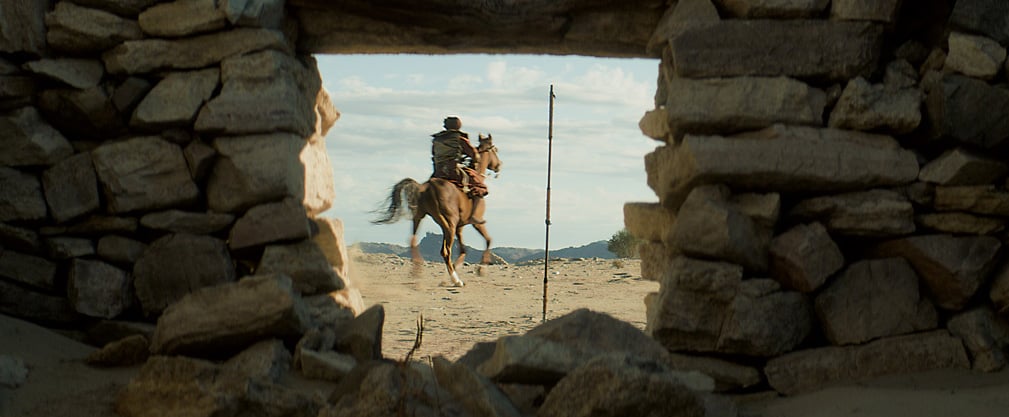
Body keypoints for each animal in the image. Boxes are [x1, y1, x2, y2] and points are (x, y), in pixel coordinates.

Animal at [373, 133, 502, 286]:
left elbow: (463, 250)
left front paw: (451, 274)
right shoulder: (476, 223)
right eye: (495, 150)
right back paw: (456, 280)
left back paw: (418, 272)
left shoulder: (460, 227)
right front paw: (481, 270)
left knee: (413, 241)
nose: (499, 165)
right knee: (445, 251)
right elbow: (488, 240)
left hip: (420, 217)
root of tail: (425, 187)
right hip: (449, 224)